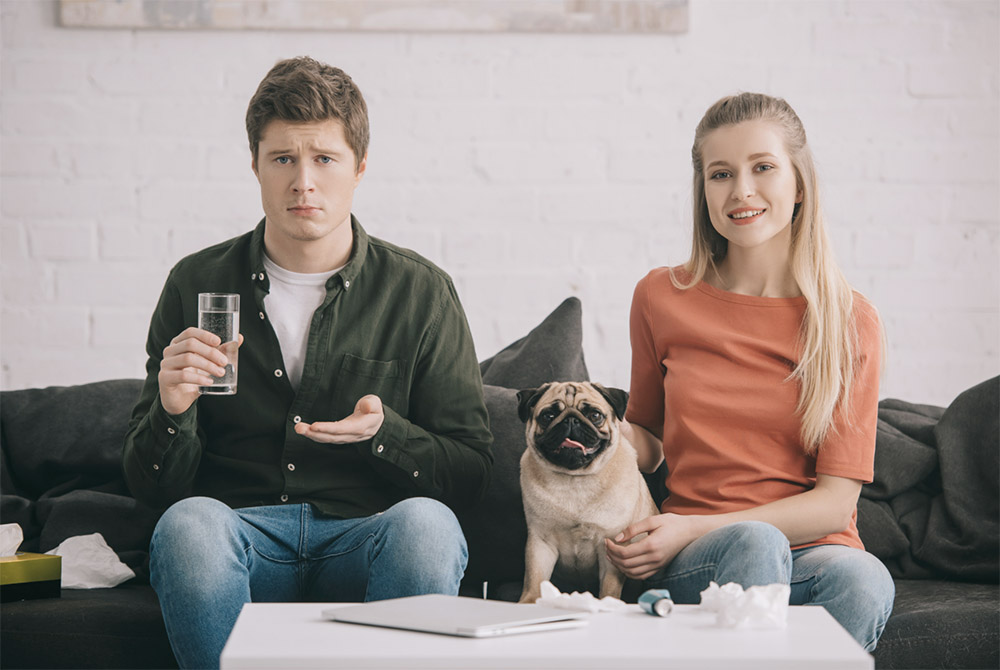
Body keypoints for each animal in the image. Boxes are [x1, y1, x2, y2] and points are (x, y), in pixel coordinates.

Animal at [516, 380, 656, 608]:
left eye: (595, 415)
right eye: (548, 416)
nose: (571, 420)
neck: (575, 480)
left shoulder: (611, 545)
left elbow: (609, 587)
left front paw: (607, 603)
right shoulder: (541, 542)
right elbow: (535, 579)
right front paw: (528, 602)